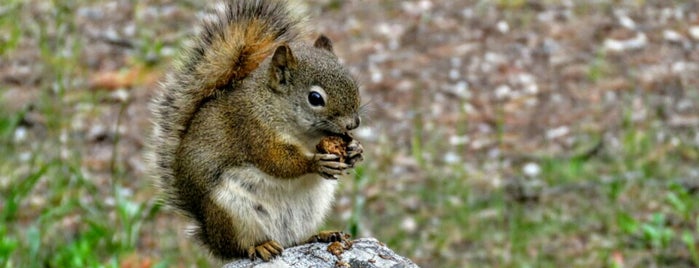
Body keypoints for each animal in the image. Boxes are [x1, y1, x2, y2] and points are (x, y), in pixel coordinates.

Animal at [150, 0, 364, 262]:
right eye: (315, 98)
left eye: (353, 84)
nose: (353, 124)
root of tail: (212, 238)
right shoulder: (252, 129)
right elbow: (277, 162)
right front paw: (315, 163)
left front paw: (355, 150)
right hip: (231, 212)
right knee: (240, 247)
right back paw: (261, 247)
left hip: (309, 211)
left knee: (294, 240)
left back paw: (320, 235)